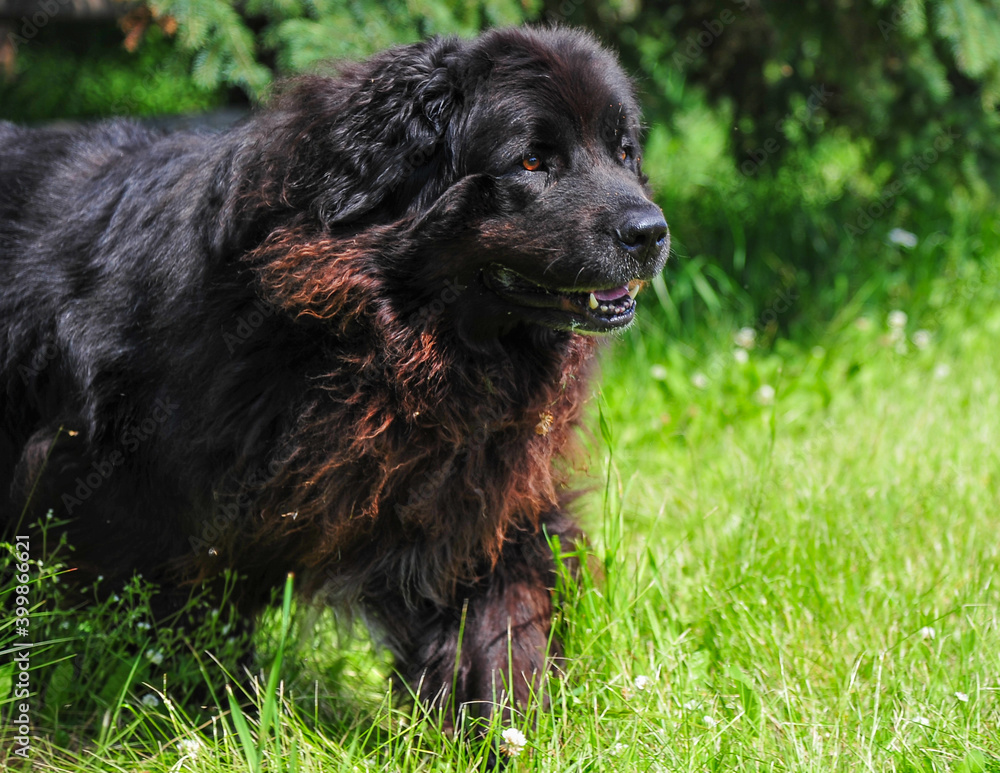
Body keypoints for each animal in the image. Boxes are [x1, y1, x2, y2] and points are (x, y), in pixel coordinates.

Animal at [1, 25, 672, 724]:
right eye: (533, 163)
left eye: (624, 152)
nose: (650, 231)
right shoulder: (124, 481)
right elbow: (156, 610)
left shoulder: (474, 483)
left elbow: (501, 609)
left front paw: (503, 722)